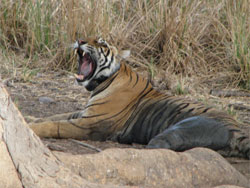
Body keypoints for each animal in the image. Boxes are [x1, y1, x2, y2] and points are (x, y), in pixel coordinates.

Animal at [29, 36, 250, 159]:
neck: (100, 83)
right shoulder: (84, 113)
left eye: (101, 43)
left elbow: (54, 125)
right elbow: (53, 116)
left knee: (159, 147)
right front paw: (30, 118)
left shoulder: (89, 123)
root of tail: (237, 129)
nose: (80, 41)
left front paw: (32, 128)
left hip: (181, 128)